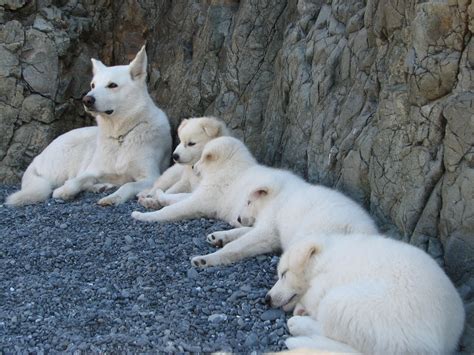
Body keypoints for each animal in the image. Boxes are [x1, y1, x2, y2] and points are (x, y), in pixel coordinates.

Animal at [5, 47, 172, 209]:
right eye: (93, 85)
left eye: (112, 85)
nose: (86, 100)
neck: (120, 135)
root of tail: (37, 158)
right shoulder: (92, 170)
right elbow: (75, 181)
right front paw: (64, 191)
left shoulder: (151, 177)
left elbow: (128, 185)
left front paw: (113, 197)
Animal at [189, 160, 378, 268]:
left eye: (248, 202)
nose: (239, 218)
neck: (278, 195)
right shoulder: (271, 230)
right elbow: (244, 234)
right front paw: (219, 236)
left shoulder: (269, 225)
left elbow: (239, 243)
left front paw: (206, 259)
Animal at [270, 235, 466, 354]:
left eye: (284, 274)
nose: (267, 299)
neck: (325, 258)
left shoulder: (329, 278)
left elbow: (313, 296)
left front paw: (302, 308)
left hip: (349, 302)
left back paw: (299, 325)